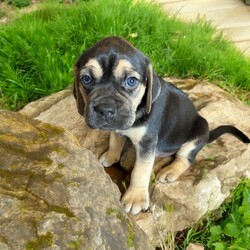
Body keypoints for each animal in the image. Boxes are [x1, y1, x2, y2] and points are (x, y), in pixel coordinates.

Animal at [73, 35, 250, 215]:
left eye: (131, 81)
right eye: (86, 79)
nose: (105, 109)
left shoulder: (147, 142)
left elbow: (140, 171)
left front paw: (135, 197)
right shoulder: (118, 128)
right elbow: (115, 142)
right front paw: (110, 156)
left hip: (197, 134)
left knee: (186, 158)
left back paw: (170, 171)